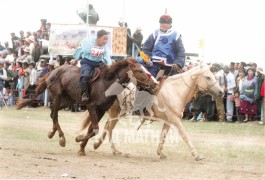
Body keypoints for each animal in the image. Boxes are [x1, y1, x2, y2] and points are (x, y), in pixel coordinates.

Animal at [16, 57, 157, 155]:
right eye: (140, 70)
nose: (155, 85)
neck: (107, 83)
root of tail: (53, 71)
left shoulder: (101, 110)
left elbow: (91, 129)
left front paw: (82, 148)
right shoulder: (92, 107)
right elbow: (95, 129)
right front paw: (79, 139)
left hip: (68, 100)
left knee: (52, 113)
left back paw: (52, 132)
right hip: (57, 96)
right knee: (54, 114)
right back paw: (61, 138)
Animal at [87, 63, 223, 160]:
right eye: (208, 77)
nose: (221, 92)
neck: (175, 91)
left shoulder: (169, 121)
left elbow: (163, 136)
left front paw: (160, 153)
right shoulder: (175, 120)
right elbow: (184, 135)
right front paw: (196, 155)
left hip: (118, 113)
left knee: (108, 126)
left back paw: (104, 146)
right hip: (116, 112)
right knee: (109, 128)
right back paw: (106, 147)